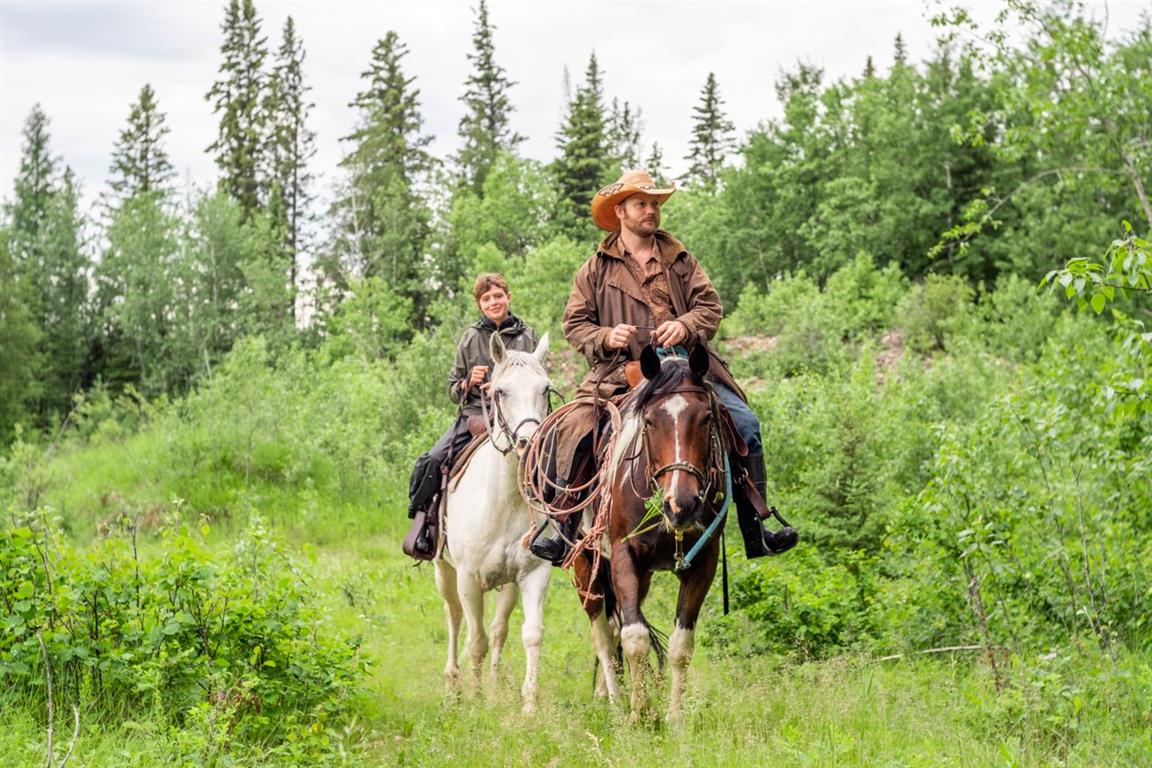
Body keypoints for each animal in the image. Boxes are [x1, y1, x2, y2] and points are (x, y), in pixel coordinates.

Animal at [435, 331, 552, 713]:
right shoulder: (468, 579)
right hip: (444, 571)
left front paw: (527, 705)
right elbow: (476, 640)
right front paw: (474, 699)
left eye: (545, 388)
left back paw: (495, 686)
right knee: (454, 617)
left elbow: (530, 634)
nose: (528, 442)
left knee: (500, 628)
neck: (504, 503)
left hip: (509, 584)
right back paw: (453, 683)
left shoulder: (533, 575)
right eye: (500, 391)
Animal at [573, 345, 728, 718]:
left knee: (615, 627)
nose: (681, 505)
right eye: (649, 421)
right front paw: (640, 712)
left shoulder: (704, 562)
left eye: (706, 418)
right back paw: (614, 703)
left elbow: (680, 645)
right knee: (604, 632)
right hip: (587, 565)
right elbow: (635, 638)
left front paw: (674, 717)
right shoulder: (623, 556)